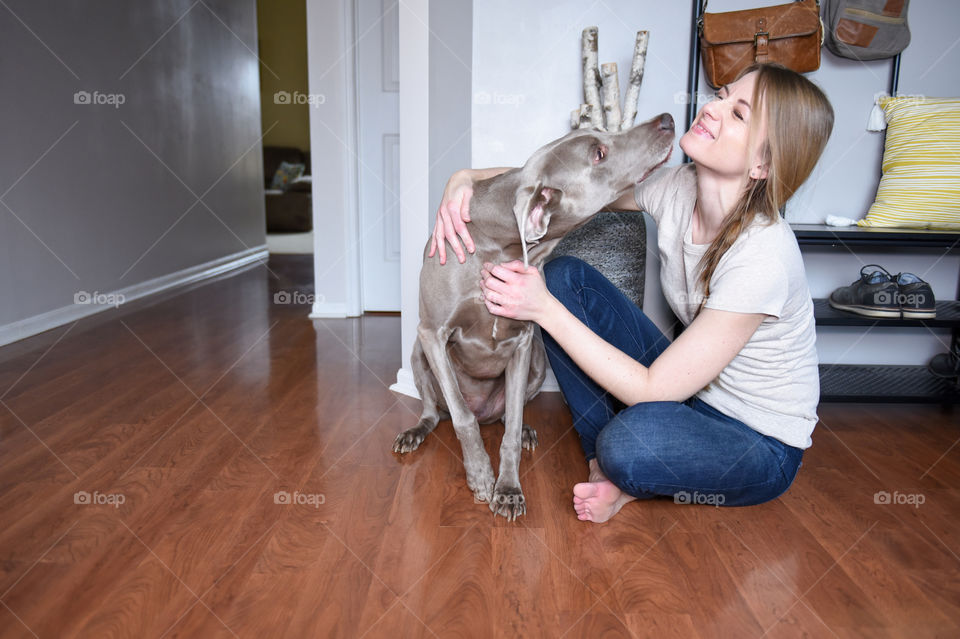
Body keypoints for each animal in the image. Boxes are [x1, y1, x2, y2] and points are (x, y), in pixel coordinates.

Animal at [390, 114, 676, 520]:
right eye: (598, 153)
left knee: (510, 415)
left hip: (539, 361)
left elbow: (509, 431)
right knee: (439, 411)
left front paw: (508, 489)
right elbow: (462, 418)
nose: (667, 120)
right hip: (418, 351)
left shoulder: (523, 341)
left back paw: (524, 429)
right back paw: (416, 432)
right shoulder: (433, 332)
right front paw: (481, 475)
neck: (500, 247)